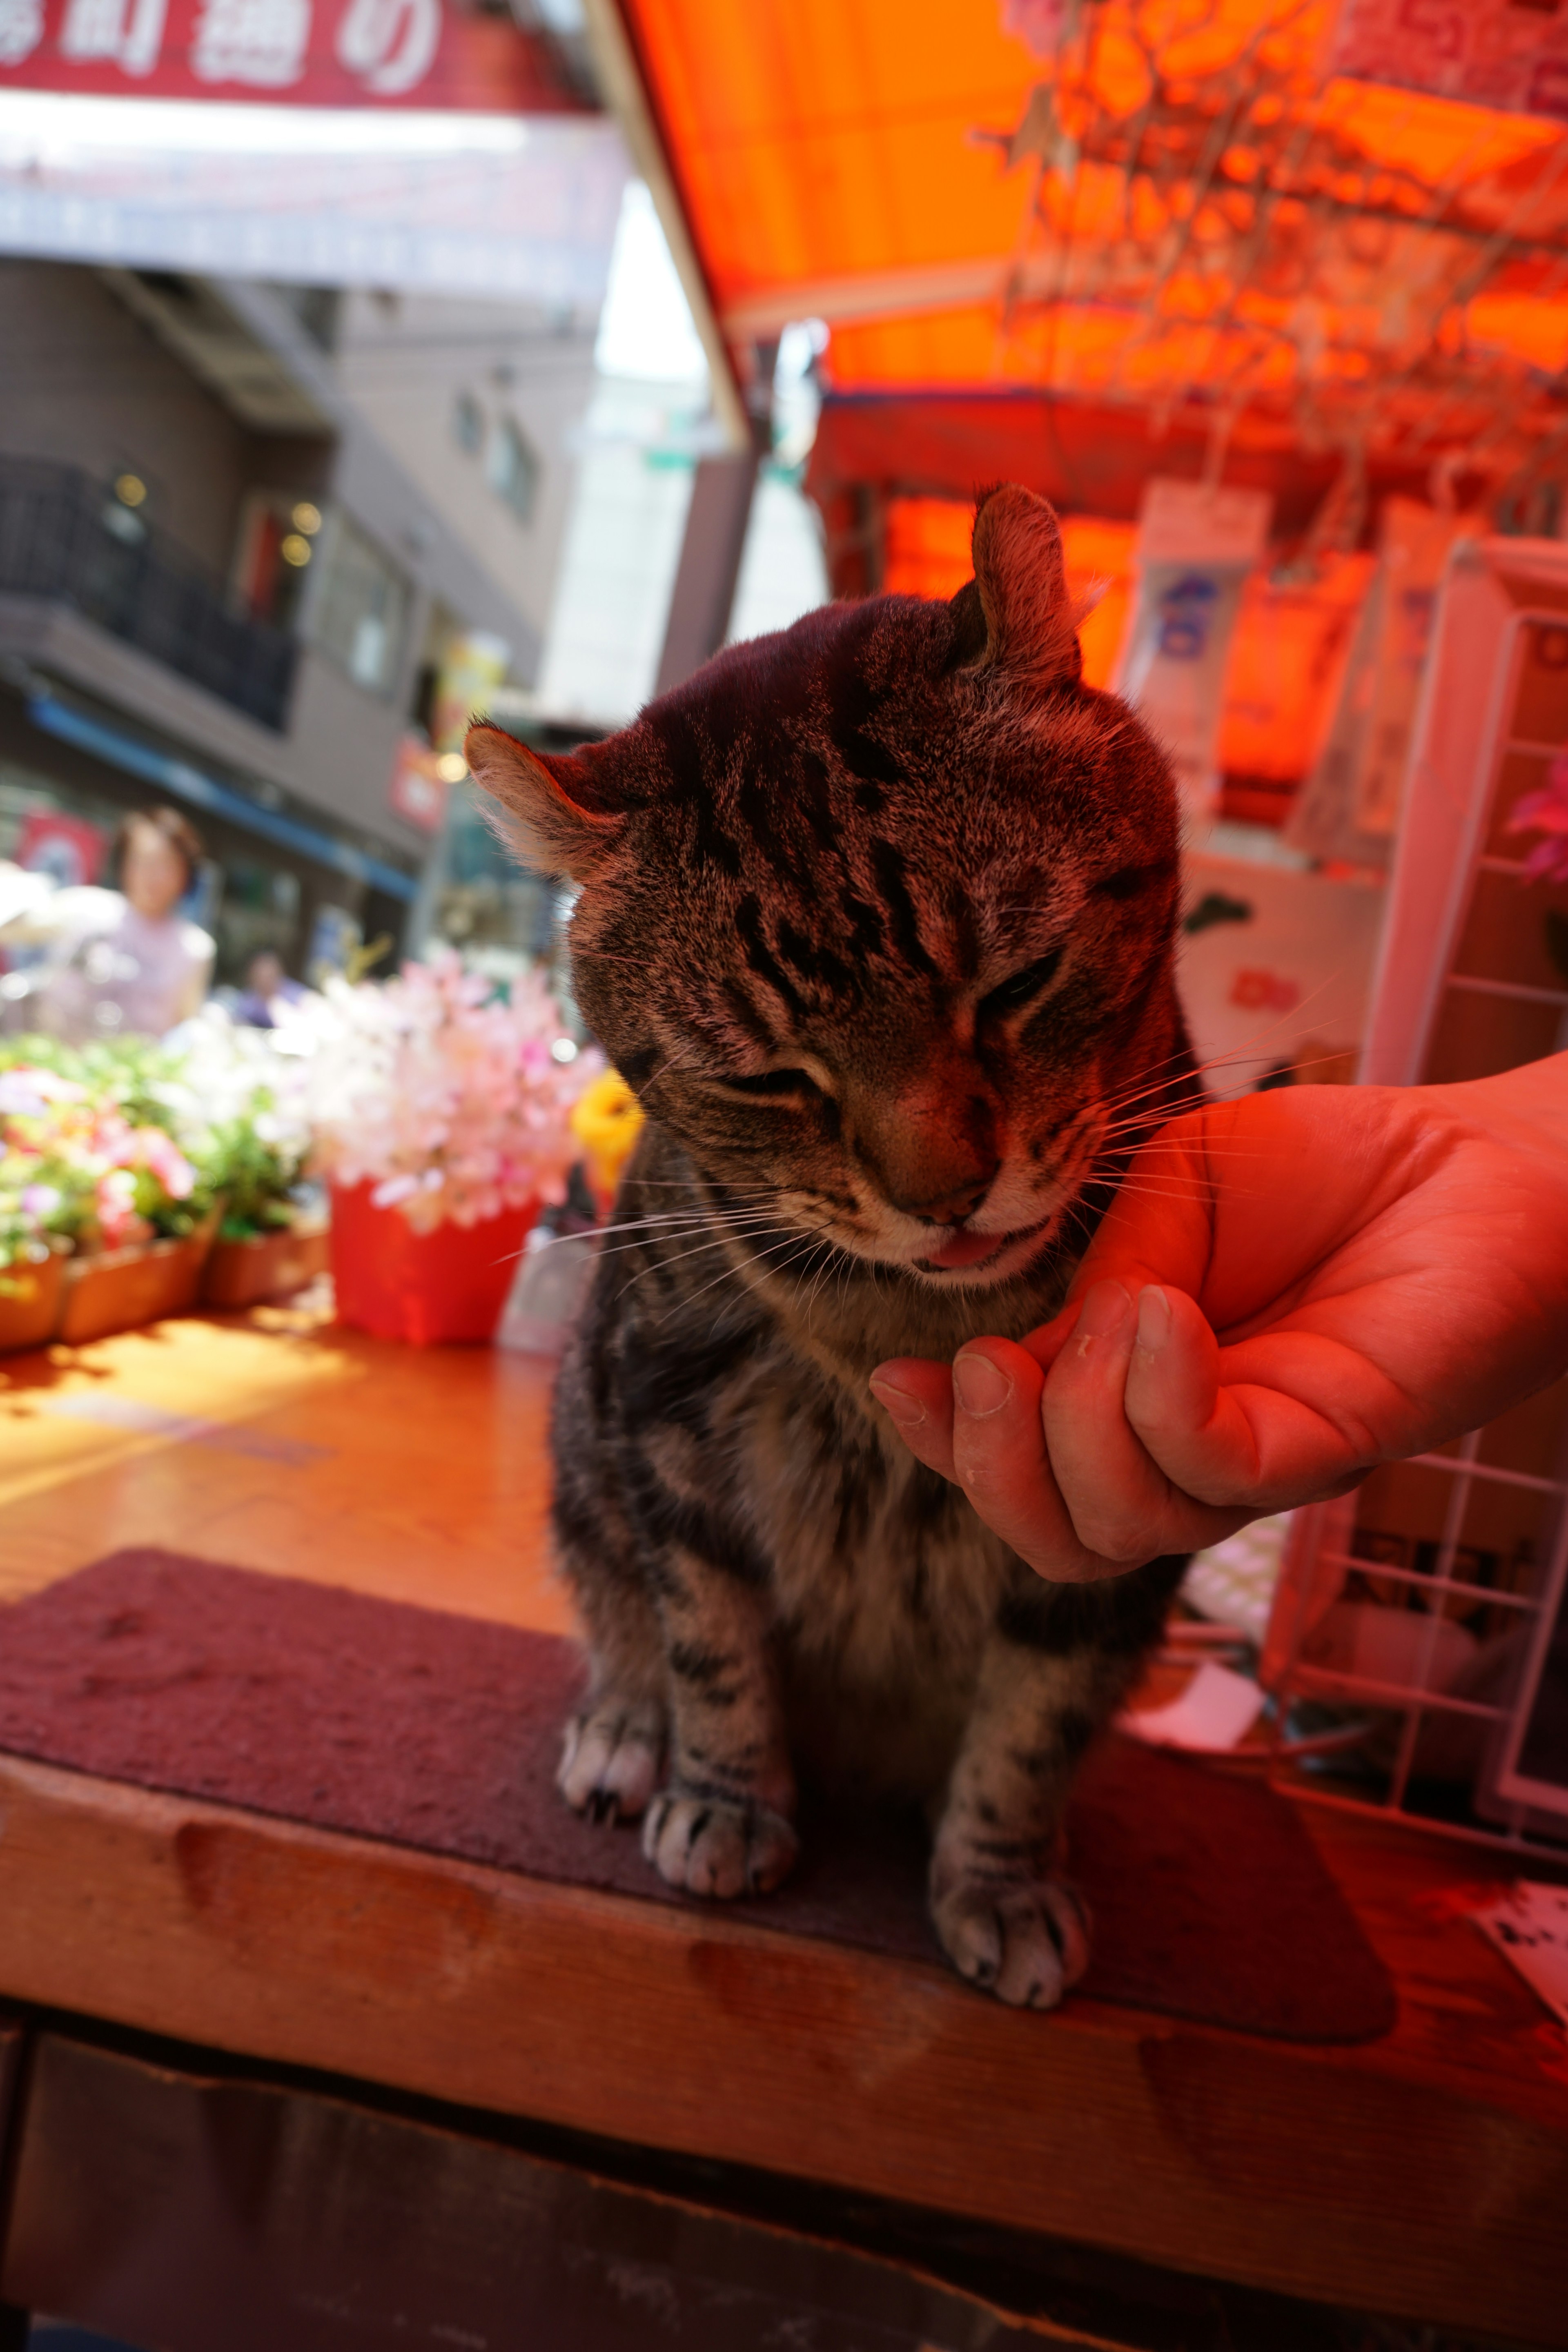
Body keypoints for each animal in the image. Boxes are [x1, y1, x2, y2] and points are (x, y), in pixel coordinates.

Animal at [465, 482, 1203, 2004]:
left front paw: (1000, 1878)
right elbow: (710, 1641)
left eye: (1017, 985)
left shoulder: (1108, 1531)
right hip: (582, 1463)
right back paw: (623, 1736)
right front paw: (726, 1800)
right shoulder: (665, 1430)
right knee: (617, 1619)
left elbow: (1033, 1728)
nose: (947, 1193)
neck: (912, 1332)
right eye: (767, 1080)